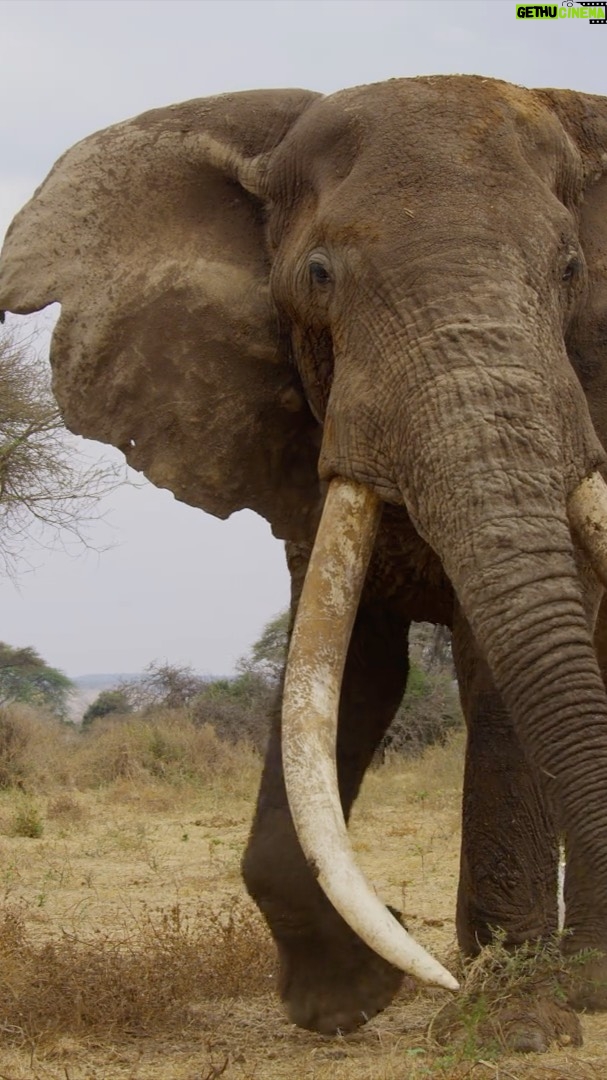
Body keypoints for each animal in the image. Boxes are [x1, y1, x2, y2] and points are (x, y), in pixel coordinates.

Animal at [1, 74, 607, 1051]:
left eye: (570, 272)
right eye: (318, 276)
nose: (440, 971)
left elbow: (501, 668)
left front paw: (512, 1026)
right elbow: (343, 671)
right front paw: (350, 998)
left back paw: (583, 986)